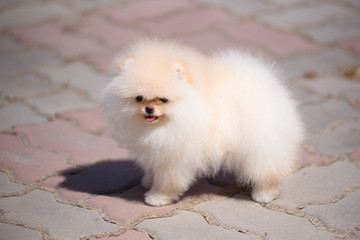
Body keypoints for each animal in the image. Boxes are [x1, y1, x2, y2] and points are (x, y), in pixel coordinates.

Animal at [102, 39, 302, 206]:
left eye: (163, 99)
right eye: (139, 98)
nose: (149, 109)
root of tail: (267, 84)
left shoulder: (175, 157)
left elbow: (168, 181)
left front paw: (157, 197)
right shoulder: (156, 150)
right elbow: (153, 168)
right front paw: (148, 180)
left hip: (259, 146)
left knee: (268, 169)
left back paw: (264, 194)